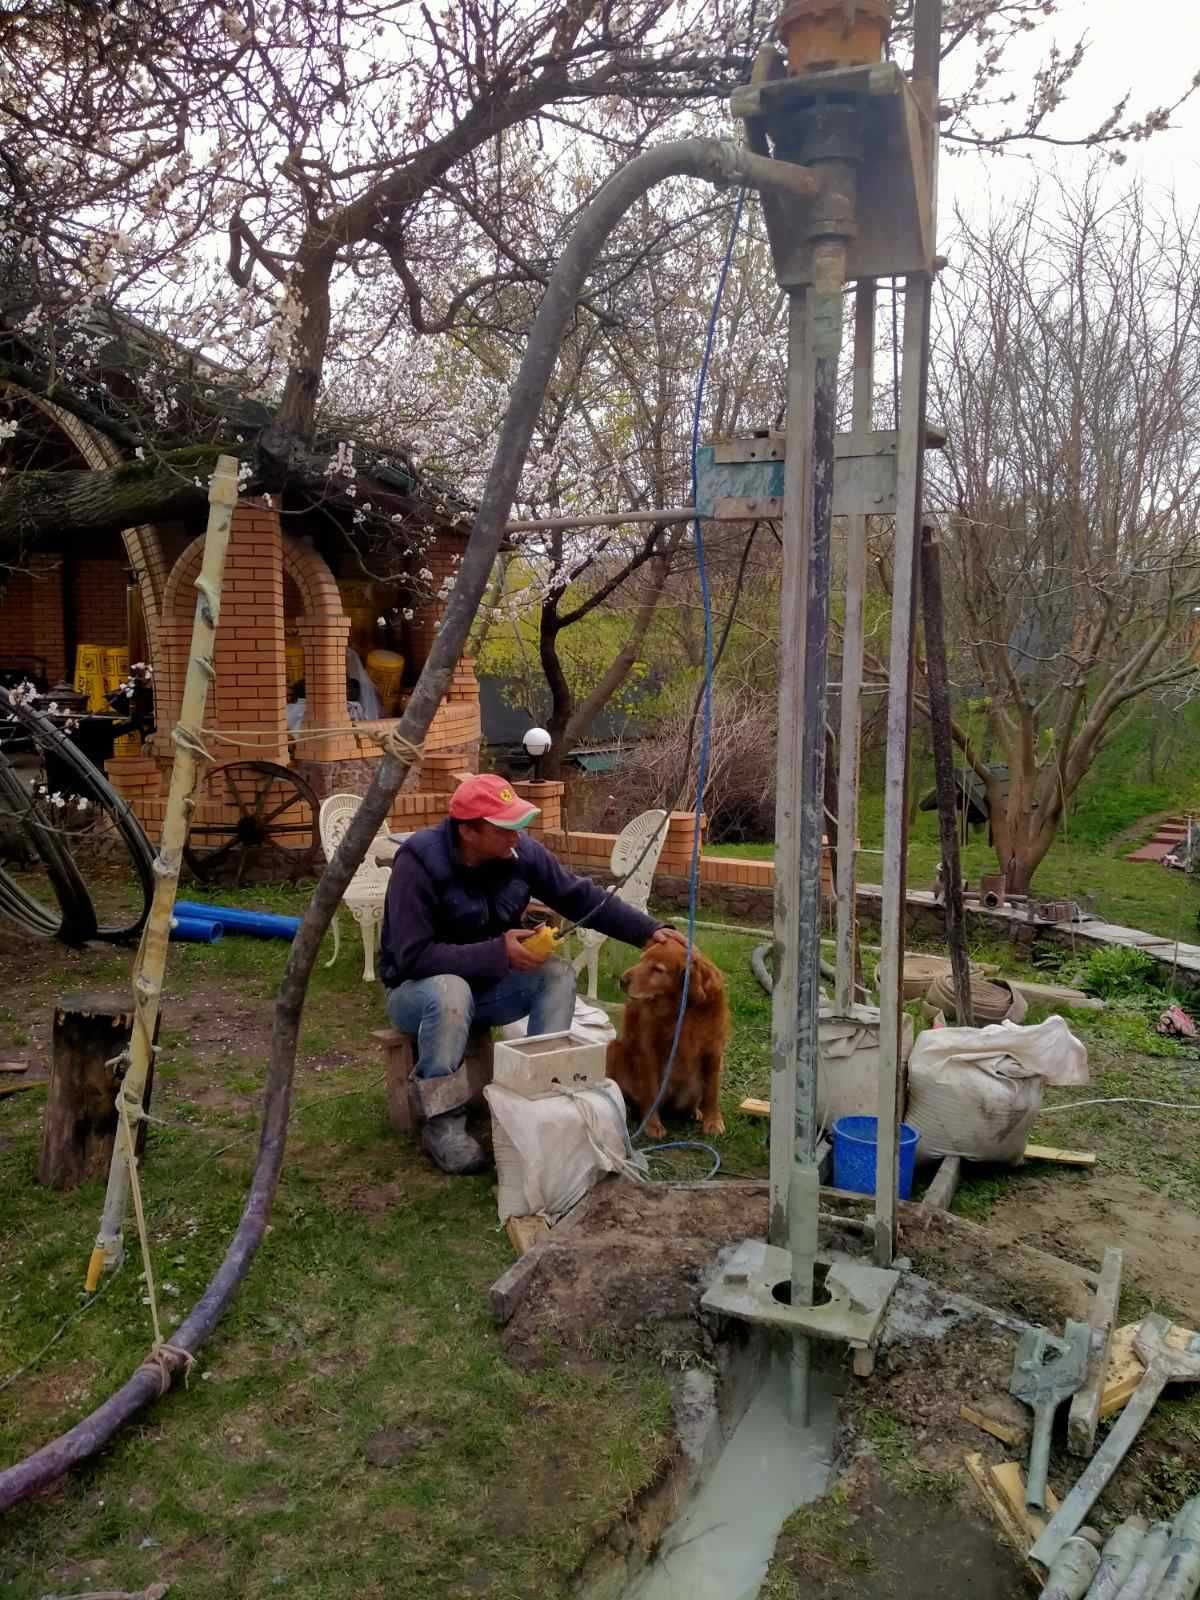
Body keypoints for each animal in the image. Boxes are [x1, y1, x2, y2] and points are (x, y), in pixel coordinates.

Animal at [611, 934, 732, 1145]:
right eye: (641, 959)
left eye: (658, 969)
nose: (622, 980)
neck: (684, 1009)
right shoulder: (648, 1049)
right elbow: (650, 1092)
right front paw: (652, 1125)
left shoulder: (714, 1050)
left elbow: (712, 1091)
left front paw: (713, 1122)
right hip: (612, 1048)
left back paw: (695, 1112)